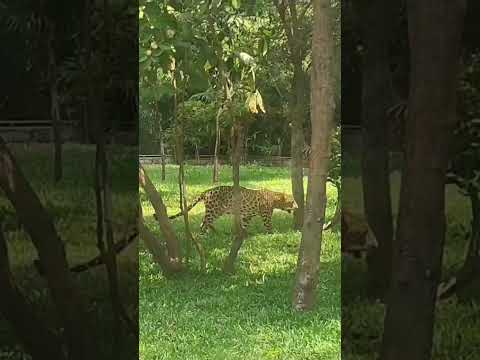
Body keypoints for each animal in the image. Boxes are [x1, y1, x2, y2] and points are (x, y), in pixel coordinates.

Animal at [159, 186, 298, 233]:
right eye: (292, 201)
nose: (297, 206)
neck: (275, 199)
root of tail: (207, 191)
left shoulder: (247, 215)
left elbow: (245, 224)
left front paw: (243, 234)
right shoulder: (266, 215)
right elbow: (269, 226)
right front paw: (273, 233)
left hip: (215, 211)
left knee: (203, 221)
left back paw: (212, 232)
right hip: (214, 210)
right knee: (204, 223)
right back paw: (204, 235)